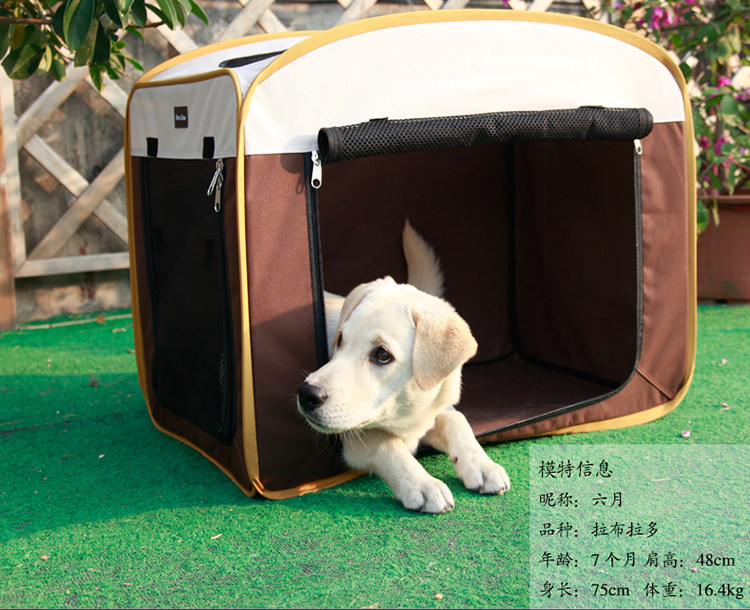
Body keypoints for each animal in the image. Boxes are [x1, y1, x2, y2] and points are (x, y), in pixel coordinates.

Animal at [297, 221, 510, 513]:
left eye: (382, 355)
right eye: (339, 340)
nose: (306, 395)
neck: (406, 415)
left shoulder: (431, 409)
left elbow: (457, 419)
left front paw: (482, 465)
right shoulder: (350, 437)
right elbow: (387, 443)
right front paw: (423, 484)